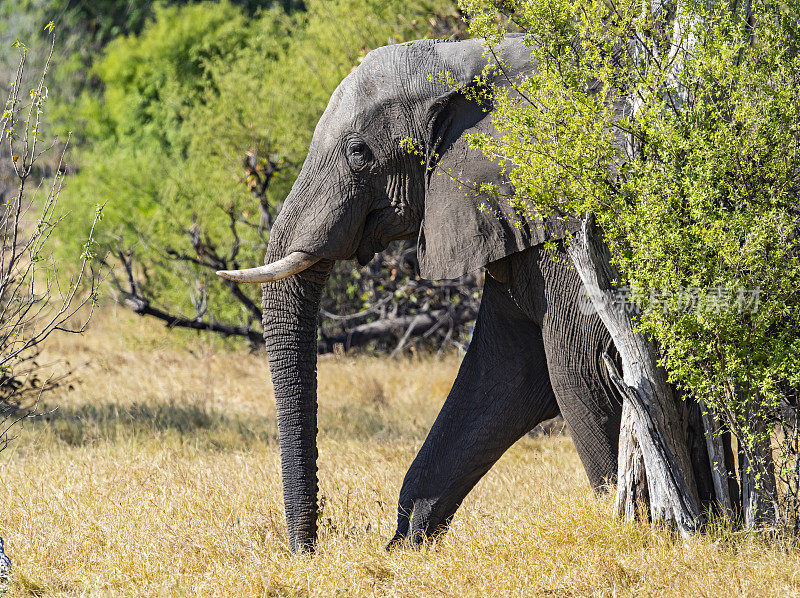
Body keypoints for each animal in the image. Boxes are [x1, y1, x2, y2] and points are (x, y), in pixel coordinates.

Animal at [219, 35, 624, 556]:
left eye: (359, 153)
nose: (305, 553)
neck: (465, 60)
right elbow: (506, 371)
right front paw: (407, 546)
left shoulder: (570, 219)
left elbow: (580, 366)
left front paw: (627, 522)